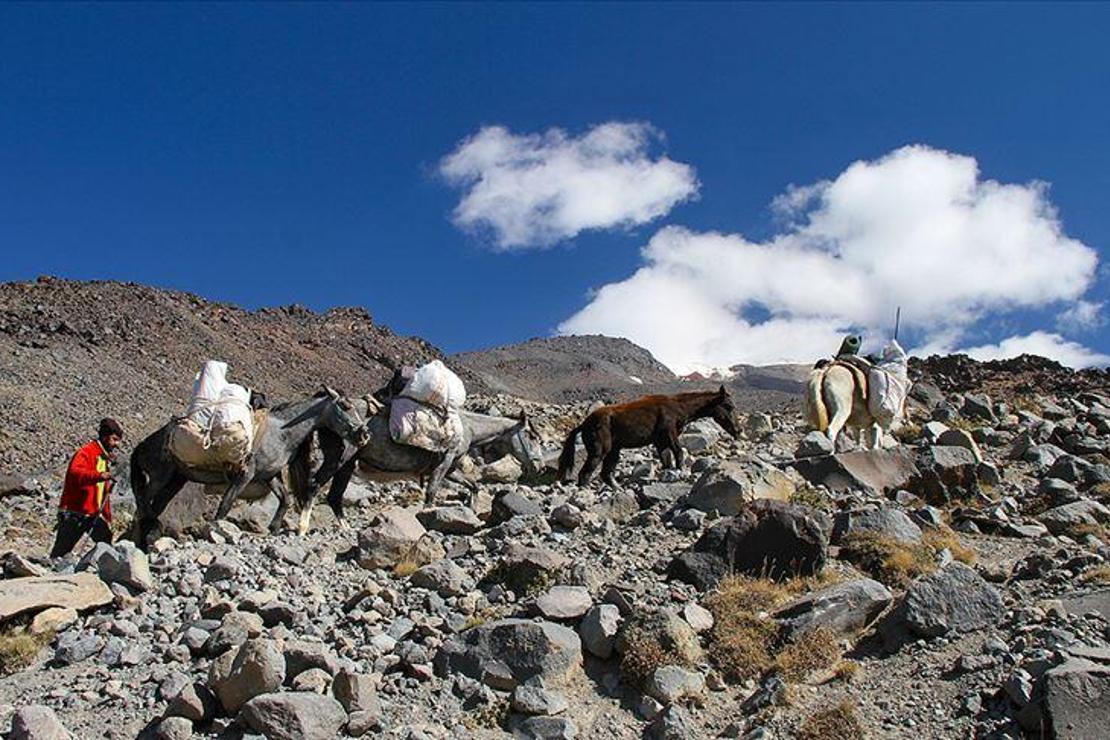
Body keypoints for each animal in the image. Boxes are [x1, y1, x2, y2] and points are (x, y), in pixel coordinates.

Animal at [559, 386, 741, 488]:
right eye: (728, 406)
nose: (738, 431)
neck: (677, 407)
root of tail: (584, 424)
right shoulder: (669, 434)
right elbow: (679, 453)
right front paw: (680, 473)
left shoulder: (660, 442)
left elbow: (667, 462)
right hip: (599, 452)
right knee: (584, 474)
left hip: (613, 452)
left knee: (606, 474)